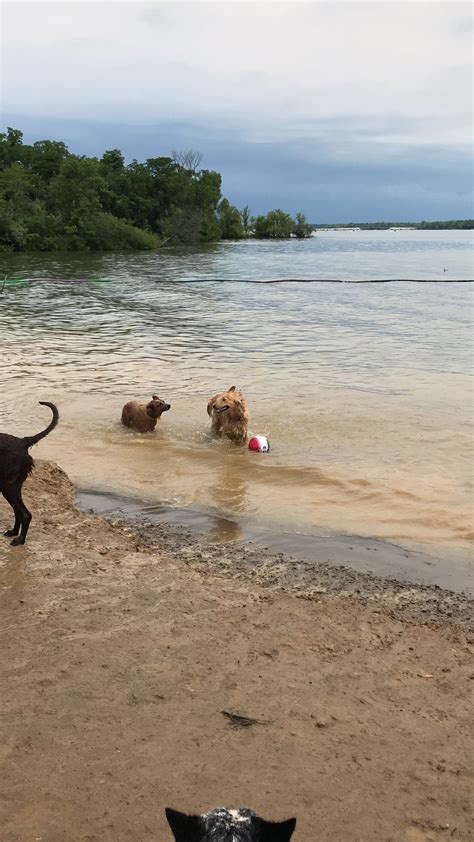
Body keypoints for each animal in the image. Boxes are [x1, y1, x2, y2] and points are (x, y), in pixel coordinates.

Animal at [0, 400, 58, 544]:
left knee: (25, 514)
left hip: (8, 487)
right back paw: (14, 532)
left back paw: (20, 540)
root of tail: (23, 441)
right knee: (18, 512)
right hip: (13, 487)